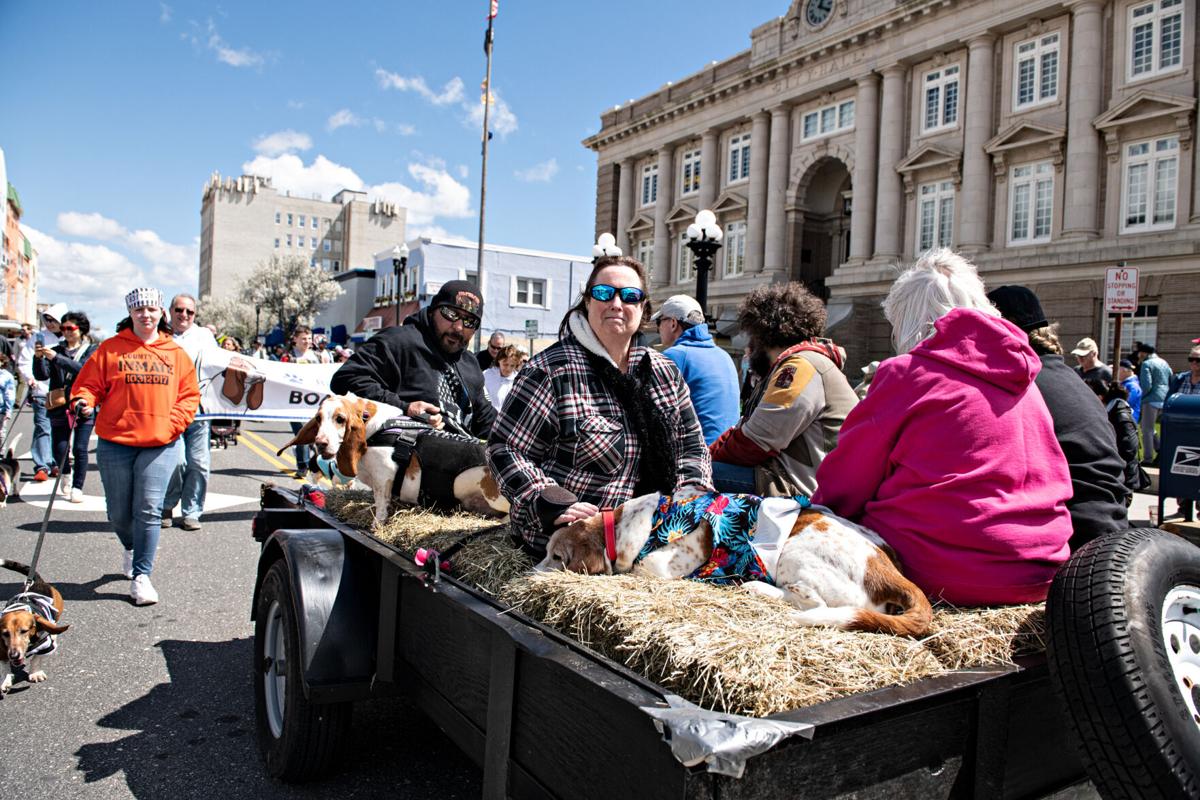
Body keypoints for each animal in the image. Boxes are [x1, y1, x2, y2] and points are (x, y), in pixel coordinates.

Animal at [1, 561, 70, 695]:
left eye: (24, 631)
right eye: (5, 633)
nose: (14, 655)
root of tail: (37, 581)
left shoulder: (45, 645)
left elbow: (36, 658)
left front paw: (35, 673)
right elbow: (5, 666)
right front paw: (5, 681)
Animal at [278, 393, 508, 525]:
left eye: (340, 419)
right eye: (318, 418)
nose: (320, 443)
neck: (372, 422)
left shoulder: (383, 477)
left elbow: (381, 503)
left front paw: (377, 523)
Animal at [537, 489, 936, 638]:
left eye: (557, 557)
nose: (532, 573)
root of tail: (886, 568)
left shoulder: (674, 556)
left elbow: (643, 567)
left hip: (795, 553)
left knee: (811, 603)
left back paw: (757, 587)